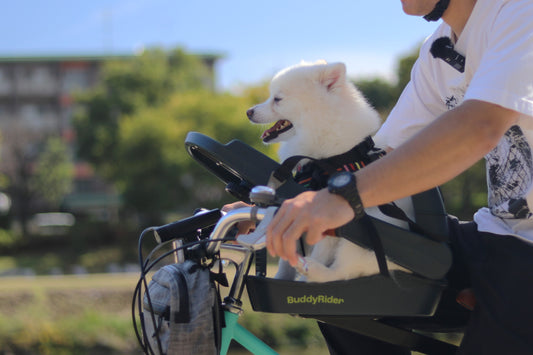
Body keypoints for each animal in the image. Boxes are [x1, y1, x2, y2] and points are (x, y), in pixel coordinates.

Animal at [245, 61, 412, 284]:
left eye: (277, 99)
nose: (248, 112)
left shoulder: (323, 217)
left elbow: (319, 252)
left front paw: (303, 278)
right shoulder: (292, 212)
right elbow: (287, 254)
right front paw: (282, 277)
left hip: (360, 237)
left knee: (342, 271)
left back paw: (312, 271)